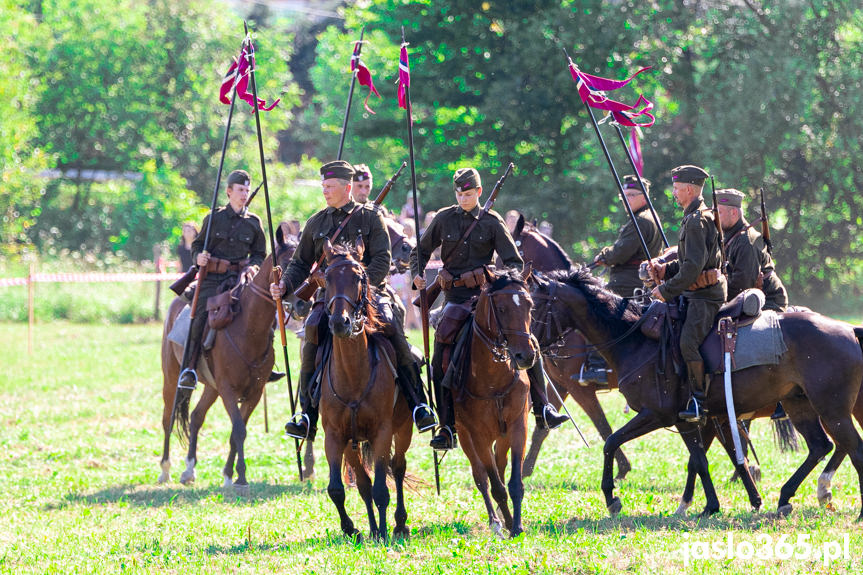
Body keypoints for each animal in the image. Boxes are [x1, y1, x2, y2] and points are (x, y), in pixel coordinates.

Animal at [156, 255, 276, 496]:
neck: (248, 330)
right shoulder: (228, 390)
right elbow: (238, 430)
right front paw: (241, 478)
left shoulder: (254, 393)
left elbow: (236, 432)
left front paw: (229, 476)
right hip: (172, 378)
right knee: (168, 419)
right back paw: (165, 469)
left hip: (212, 388)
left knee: (196, 417)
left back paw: (189, 470)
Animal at [318, 237, 414, 540]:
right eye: (327, 277)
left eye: (358, 277)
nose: (340, 322)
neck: (353, 375)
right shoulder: (335, 436)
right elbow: (341, 488)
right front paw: (353, 530)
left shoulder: (382, 432)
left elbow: (382, 488)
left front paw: (383, 531)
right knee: (363, 482)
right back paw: (372, 527)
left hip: (403, 428)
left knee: (398, 468)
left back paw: (398, 524)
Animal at [456, 268, 536, 536]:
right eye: (501, 309)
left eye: (530, 306)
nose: (526, 356)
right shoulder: (477, 435)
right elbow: (493, 483)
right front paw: (506, 524)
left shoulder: (518, 427)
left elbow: (513, 482)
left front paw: (517, 525)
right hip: (464, 436)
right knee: (481, 476)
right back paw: (495, 520)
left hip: (501, 437)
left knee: (499, 468)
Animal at [528, 268, 863, 520]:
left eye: (536, 306)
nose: (528, 348)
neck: (637, 340)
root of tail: (848, 330)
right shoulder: (689, 419)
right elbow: (699, 460)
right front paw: (709, 506)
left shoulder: (658, 415)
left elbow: (610, 441)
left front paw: (612, 499)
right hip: (801, 406)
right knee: (821, 446)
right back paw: (786, 497)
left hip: (832, 410)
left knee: (851, 447)